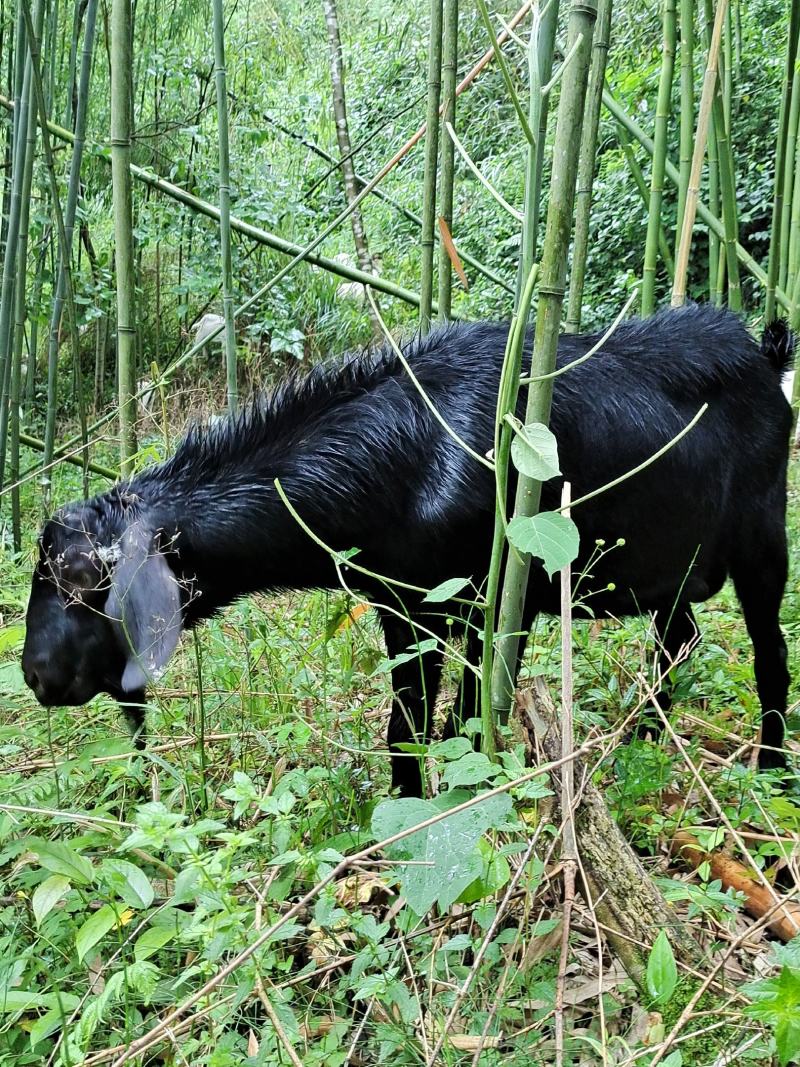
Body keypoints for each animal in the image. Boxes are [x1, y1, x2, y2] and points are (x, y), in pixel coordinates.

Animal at [21, 305, 793, 798]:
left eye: (83, 581)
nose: (35, 675)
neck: (405, 455)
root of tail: (767, 356)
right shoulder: (412, 606)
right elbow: (422, 721)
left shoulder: (480, 604)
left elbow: (454, 718)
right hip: (672, 571)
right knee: (680, 639)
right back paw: (640, 748)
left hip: (763, 539)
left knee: (770, 654)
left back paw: (772, 769)